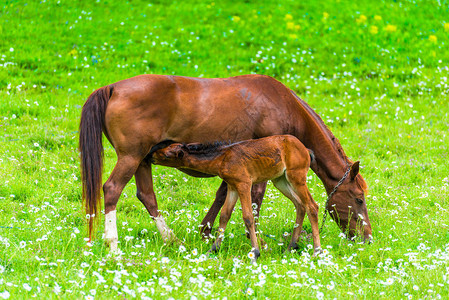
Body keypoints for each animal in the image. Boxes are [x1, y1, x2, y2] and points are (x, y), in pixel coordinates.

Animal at [151, 135, 322, 262]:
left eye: (166, 155)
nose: (151, 155)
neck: (222, 158)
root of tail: (305, 149)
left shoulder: (244, 184)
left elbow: (248, 217)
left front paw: (255, 253)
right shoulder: (232, 186)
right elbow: (224, 215)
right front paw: (212, 249)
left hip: (297, 177)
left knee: (312, 206)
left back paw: (317, 251)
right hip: (280, 180)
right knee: (300, 205)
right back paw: (290, 247)